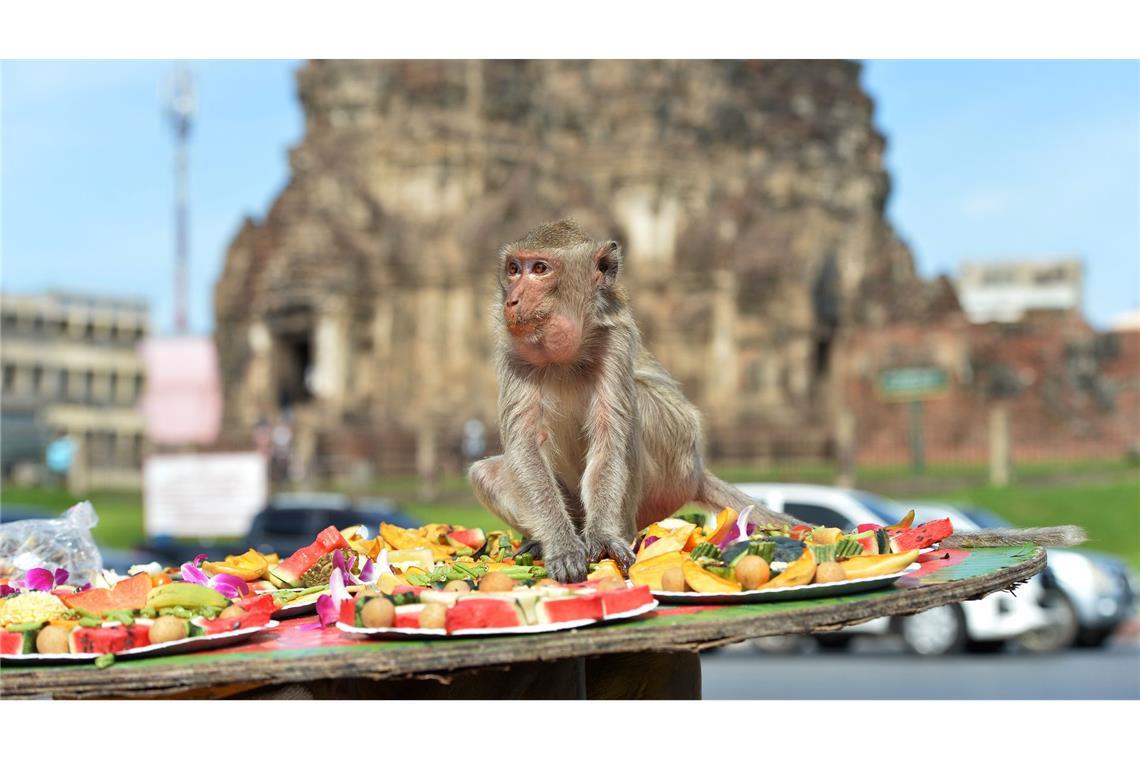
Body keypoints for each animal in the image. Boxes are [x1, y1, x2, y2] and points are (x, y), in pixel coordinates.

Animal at [467, 219, 798, 583]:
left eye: (540, 269)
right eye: (514, 269)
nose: (511, 301)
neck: (564, 356)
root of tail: (697, 473)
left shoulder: (615, 341)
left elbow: (609, 438)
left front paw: (603, 538)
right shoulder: (513, 349)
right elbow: (525, 447)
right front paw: (560, 545)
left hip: (675, 470)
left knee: (637, 405)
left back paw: (621, 533)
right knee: (484, 473)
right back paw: (544, 541)